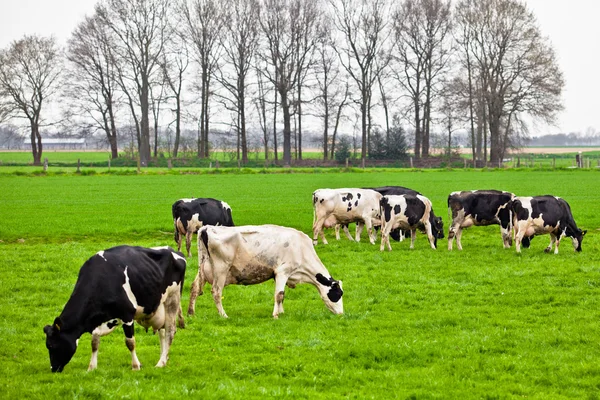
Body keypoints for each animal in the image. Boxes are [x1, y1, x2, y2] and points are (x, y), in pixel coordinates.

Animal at [43, 245, 185, 374]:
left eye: (50, 345)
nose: (53, 369)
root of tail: (173, 251)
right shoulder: (96, 319)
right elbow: (94, 343)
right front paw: (91, 367)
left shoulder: (127, 315)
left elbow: (130, 342)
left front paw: (135, 366)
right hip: (159, 306)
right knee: (162, 332)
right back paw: (164, 357)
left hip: (173, 299)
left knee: (170, 331)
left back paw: (161, 363)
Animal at [190, 225, 344, 318]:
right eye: (338, 294)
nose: (341, 314)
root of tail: (207, 228)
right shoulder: (282, 271)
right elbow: (279, 295)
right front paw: (275, 315)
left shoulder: (278, 275)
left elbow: (282, 295)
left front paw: (281, 312)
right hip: (221, 270)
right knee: (216, 292)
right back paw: (224, 315)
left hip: (203, 269)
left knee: (194, 288)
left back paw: (191, 313)